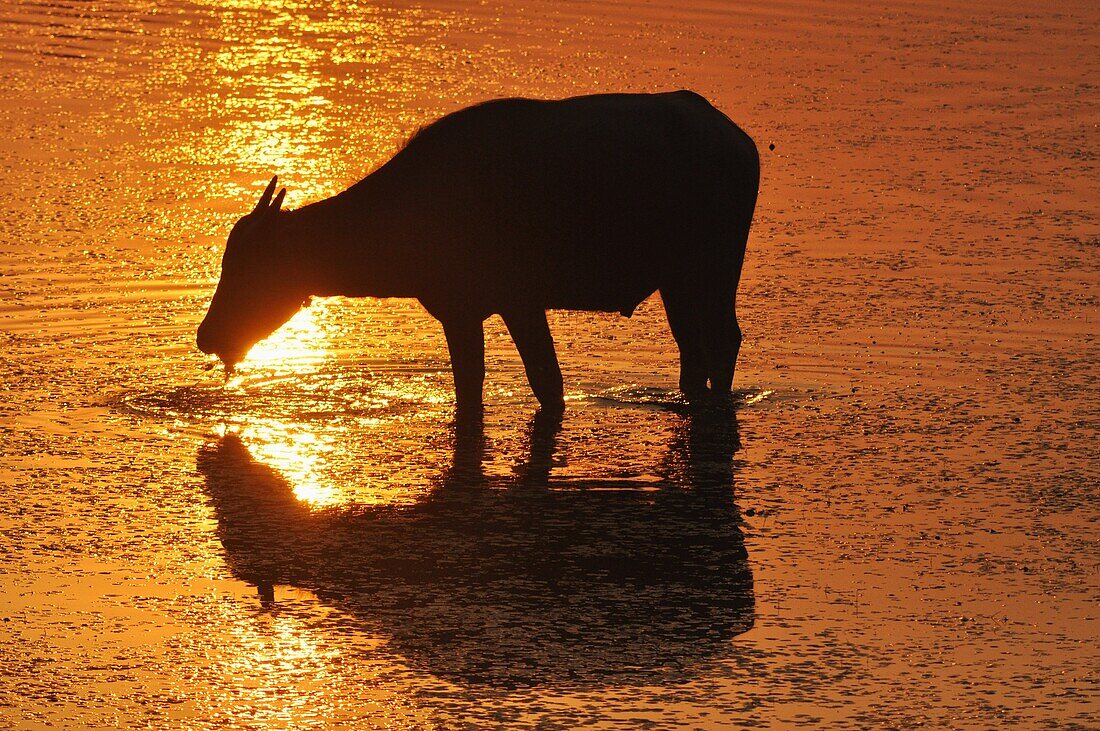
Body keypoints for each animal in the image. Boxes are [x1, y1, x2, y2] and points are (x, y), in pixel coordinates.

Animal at [198, 89, 756, 411]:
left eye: (247, 268)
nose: (206, 336)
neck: (406, 215)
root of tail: (738, 140)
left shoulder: (519, 303)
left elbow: (546, 383)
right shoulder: (461, 313)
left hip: (715, 269)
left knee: (725, 339)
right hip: (677, 282)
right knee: (693, 351)